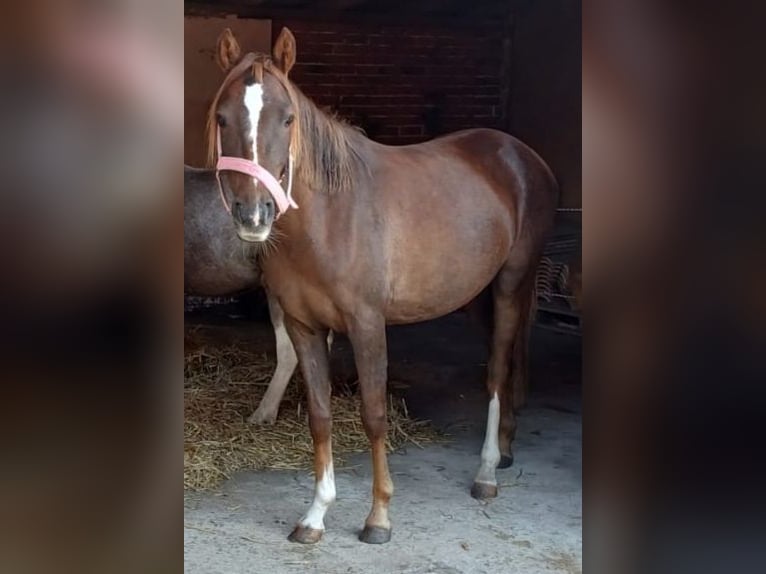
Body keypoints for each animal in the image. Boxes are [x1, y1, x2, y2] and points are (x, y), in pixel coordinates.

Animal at [208, 28, 560, 548]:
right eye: (222, 117)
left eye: (288, 118)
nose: (253, 215)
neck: (330, 218)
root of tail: (523, 156)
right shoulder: (303, 326)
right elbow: (320, 415)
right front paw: (315, 515)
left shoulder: (367, 324)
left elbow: (374, 415)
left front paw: (378, 518)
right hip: (479, 294)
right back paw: (506, 451)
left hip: (511, 284)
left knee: (497, 372)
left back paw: (486, 473)